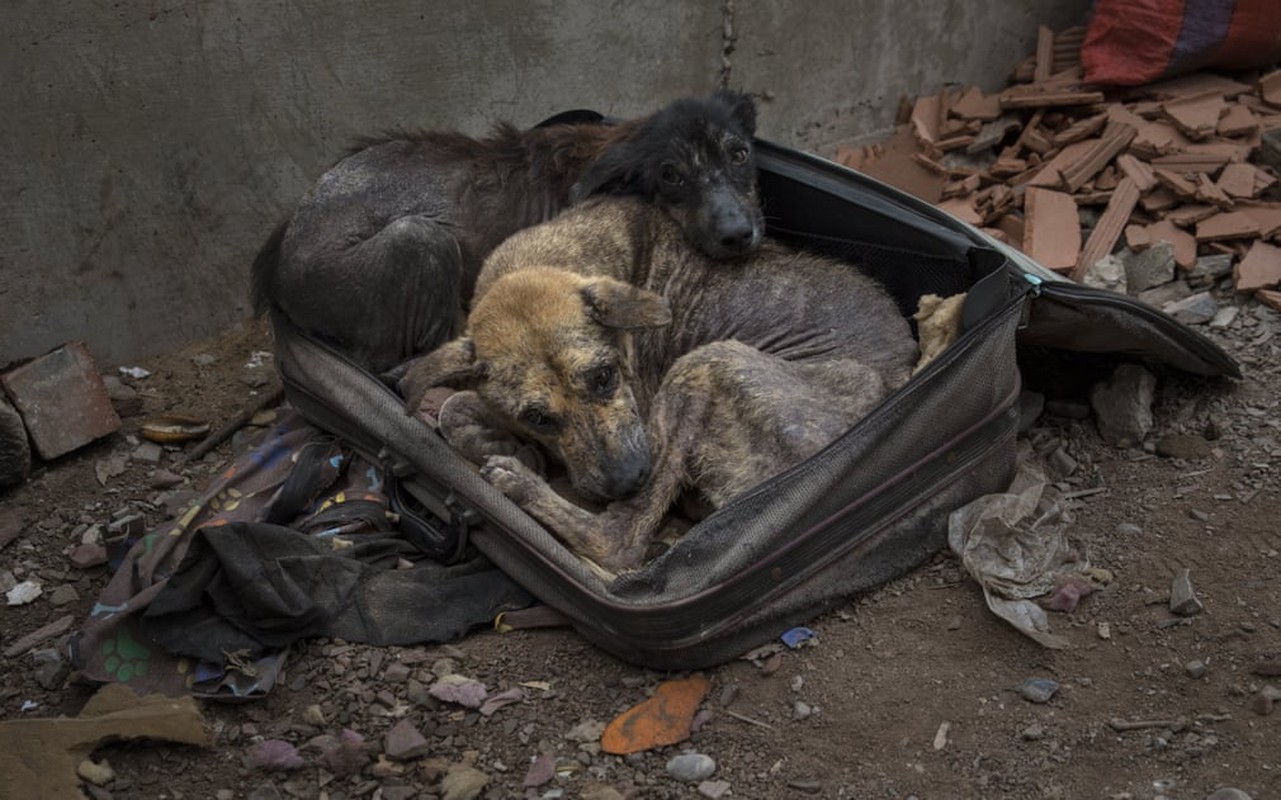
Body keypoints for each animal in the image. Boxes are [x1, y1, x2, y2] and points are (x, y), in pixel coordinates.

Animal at [399, 199, 922, 573]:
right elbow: (454, 406)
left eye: (605, 376)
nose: (627, 482)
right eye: (539, 417)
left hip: (703, 364)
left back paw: (525, 485)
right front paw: (498, 438)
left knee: (619, 543)